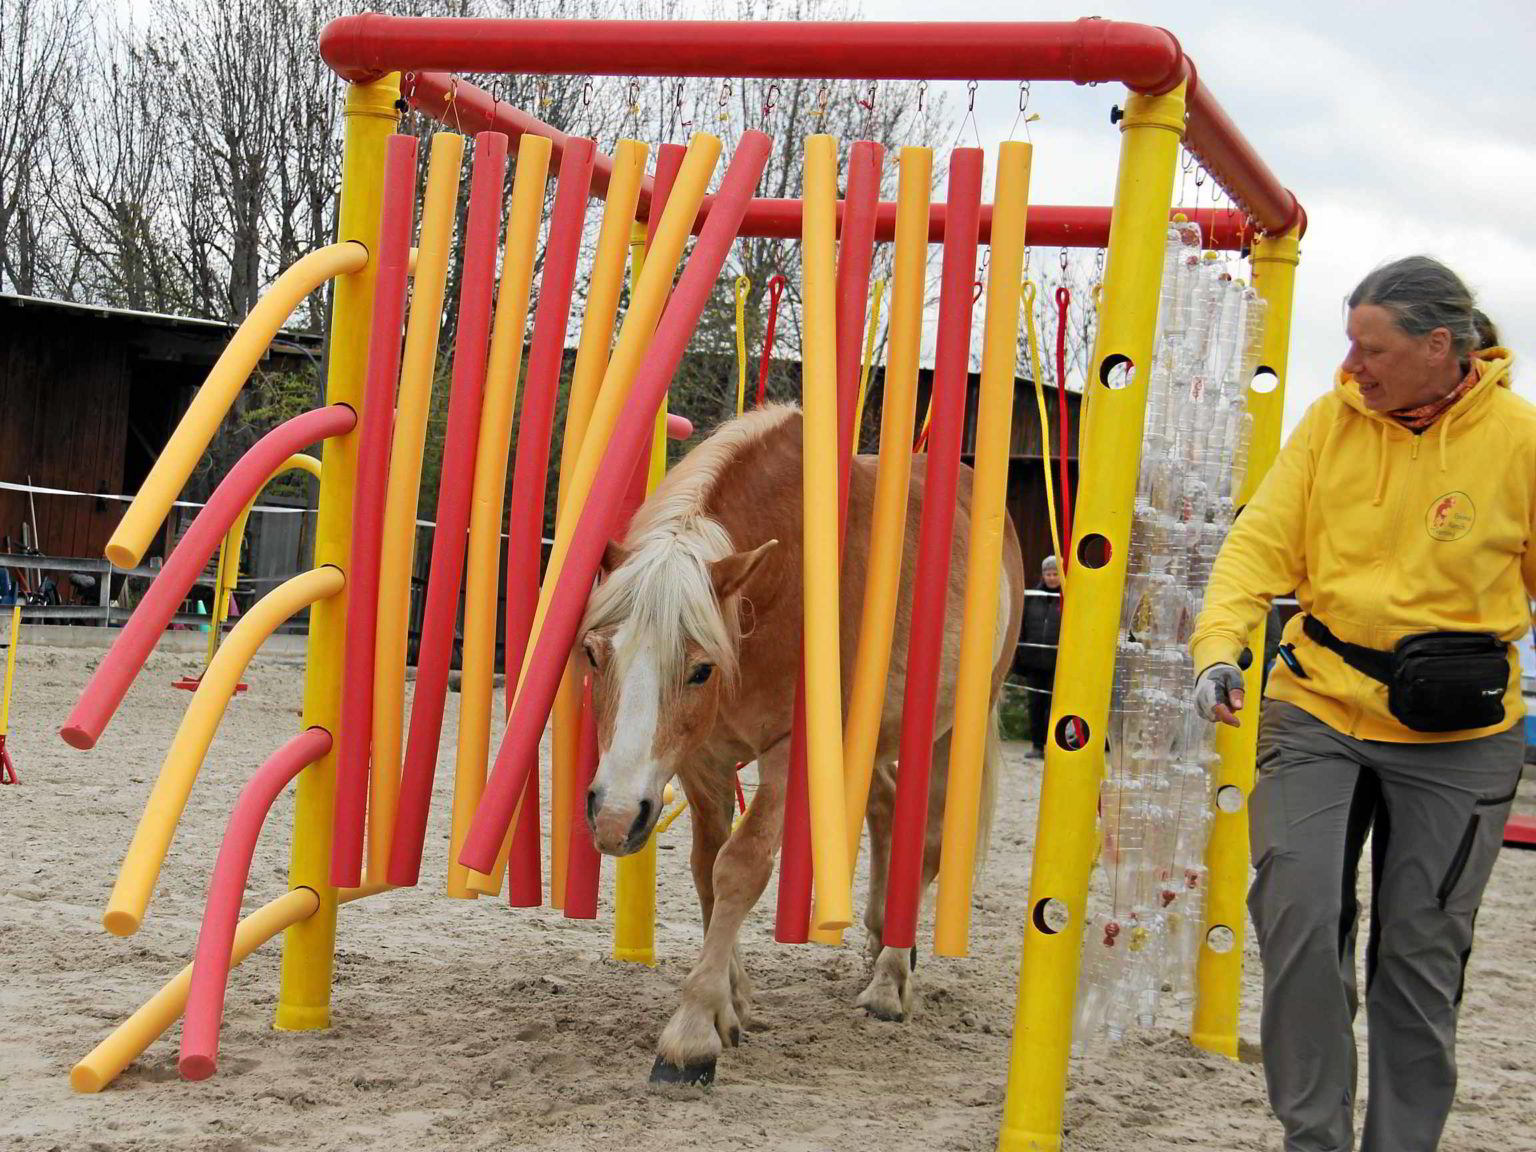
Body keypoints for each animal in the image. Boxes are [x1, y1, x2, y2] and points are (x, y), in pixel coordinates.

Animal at [579, 403, 1026, 1085]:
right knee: (886, 807)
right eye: (593, 654)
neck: (784, 587)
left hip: (950, 731)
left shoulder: (792, 754)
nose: (614, 818)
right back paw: (881, 938)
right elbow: (705, 868)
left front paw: (690, 1035)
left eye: (701, 669)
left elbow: (741, 867)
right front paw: (730, 1006)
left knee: (925, 838)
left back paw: (890, 980)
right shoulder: (701, 761)